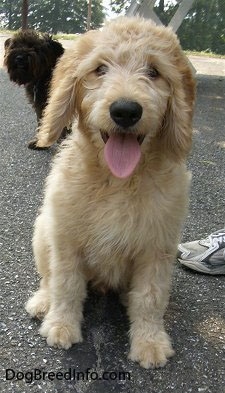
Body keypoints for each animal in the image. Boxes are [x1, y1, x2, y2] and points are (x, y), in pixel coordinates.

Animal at [25, 16, 195, 368]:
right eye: (100, 69)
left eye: (154, 71)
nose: (126, 111)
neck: (117, 181)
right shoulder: (66, 238)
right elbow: (65, 284)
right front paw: (61, 325)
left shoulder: (157, 247)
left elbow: (150, 297)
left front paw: (150, 342)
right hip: (43, 230)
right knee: (48, 277)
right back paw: (43, 302)